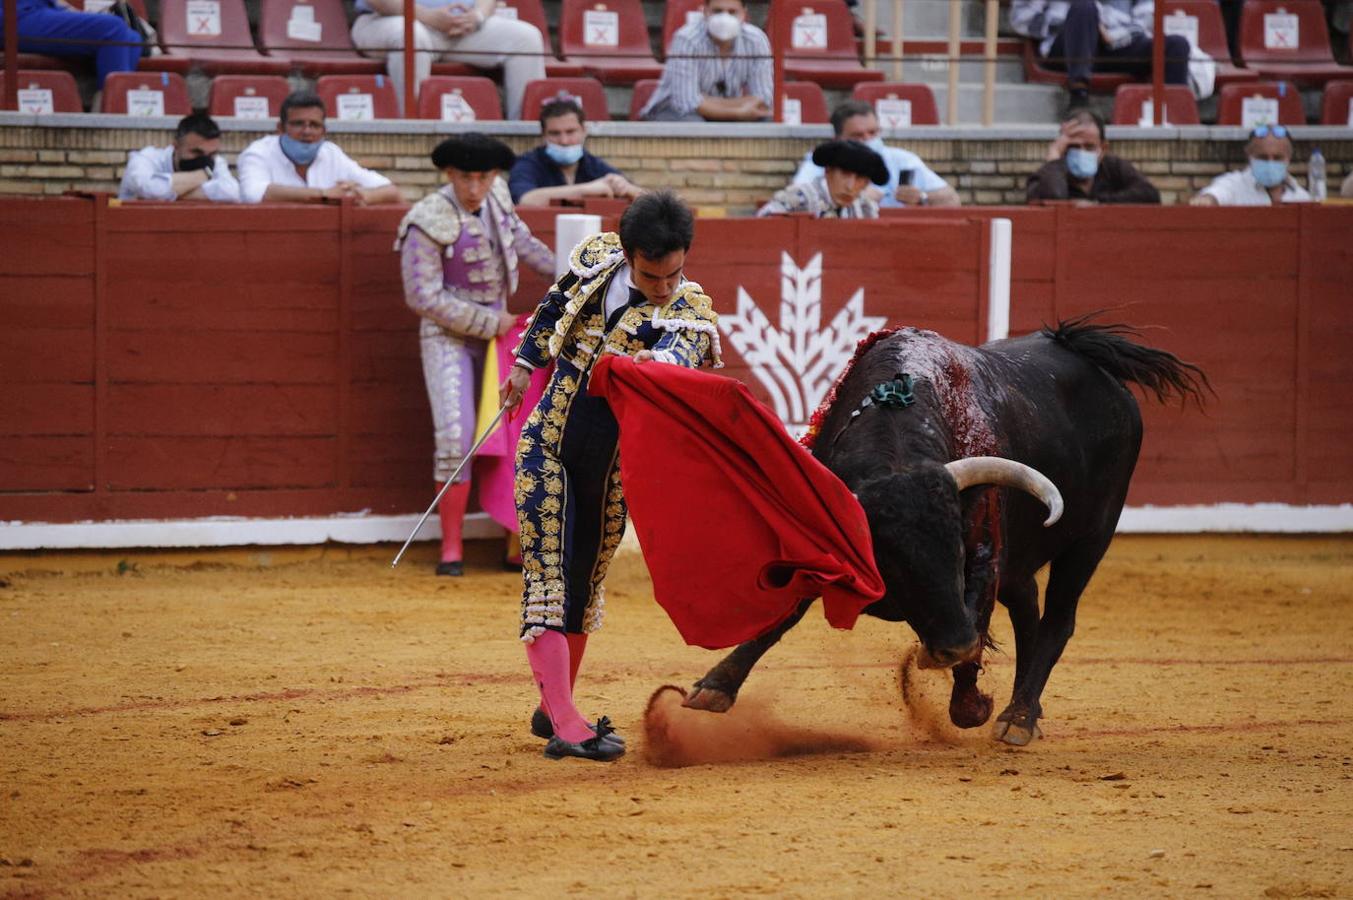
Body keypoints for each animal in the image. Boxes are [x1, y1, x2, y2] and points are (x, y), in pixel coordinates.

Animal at [687, 315, 1206, 741]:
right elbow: (784, 612)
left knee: (1058, 619)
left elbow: (978, 616)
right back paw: (1023, 710)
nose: (951, 643)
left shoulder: (985, 553)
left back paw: (1018, 719)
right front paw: (714, 686)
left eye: (955, 550)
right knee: (1029, 614)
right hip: (1024, 561)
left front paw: (971, 705)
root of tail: (1087, 357)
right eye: (890, 563)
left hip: (1091, 537)